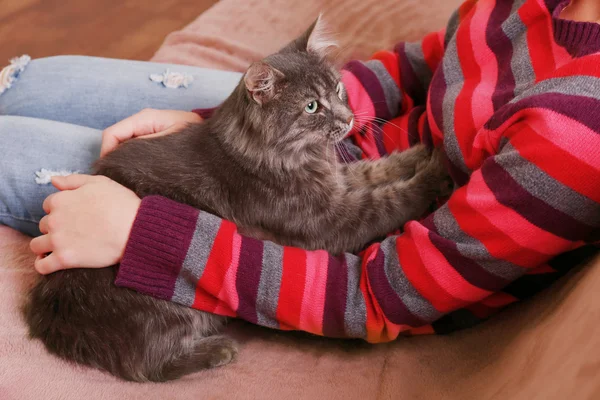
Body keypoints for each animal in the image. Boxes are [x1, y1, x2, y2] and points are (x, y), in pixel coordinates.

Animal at [23, 17, 450, 382]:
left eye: (339, 89)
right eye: (312, 106)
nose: (348, 118)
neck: (294, 156)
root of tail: (51, 316)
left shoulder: (338, 185)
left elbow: (377, 171)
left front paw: (420, 152)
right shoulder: (330, 220)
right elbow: (389, 199)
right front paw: (437, 169)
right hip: (165, 306)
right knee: (145, 364)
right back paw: (219, 350)